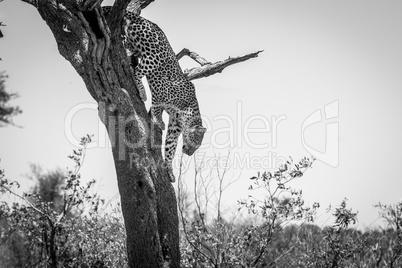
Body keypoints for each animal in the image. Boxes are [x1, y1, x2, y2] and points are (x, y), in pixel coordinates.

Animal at [102, 6, 206, 182]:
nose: (188, 153)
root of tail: (144, 20)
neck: (187, 110)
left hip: (137, 46)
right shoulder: (161, 90)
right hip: (153, 57)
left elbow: (170, 147)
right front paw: (158, 121)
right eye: (196, 142)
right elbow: (157, 106)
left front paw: (169, 171)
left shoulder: (175, 127)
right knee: (136, 71)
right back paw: (142, 92)